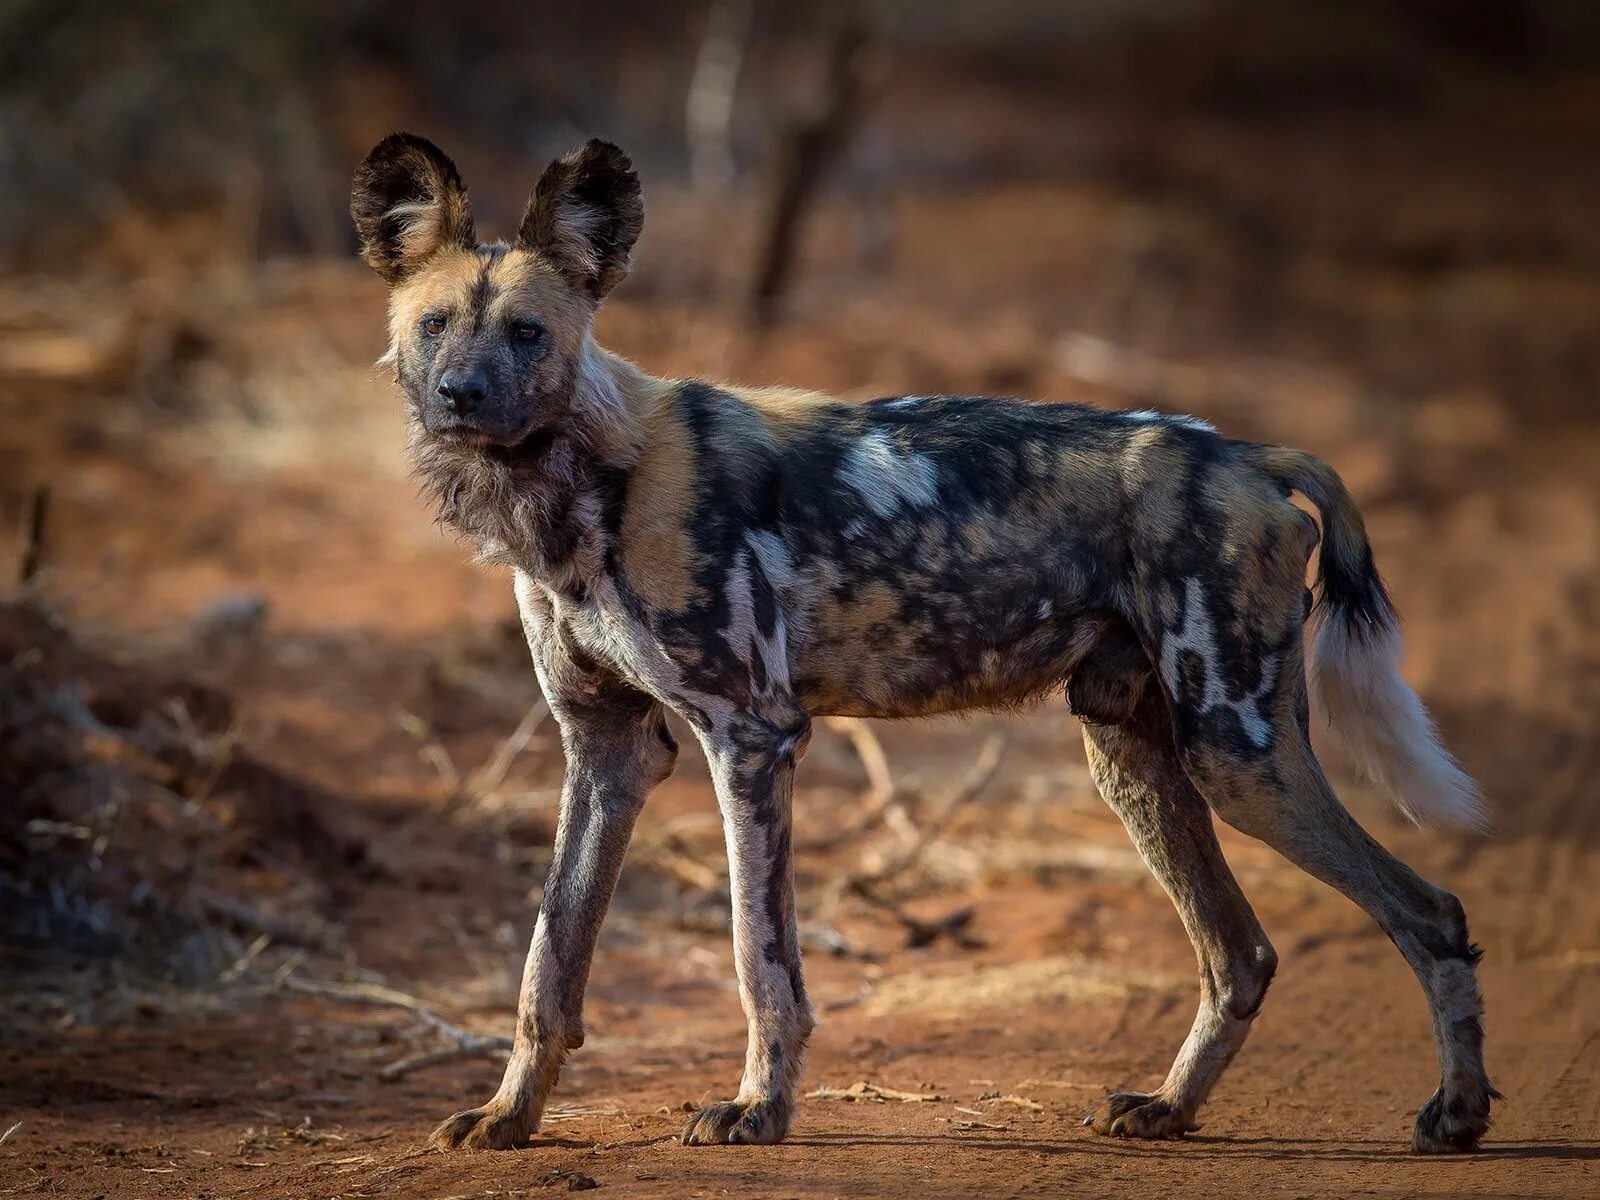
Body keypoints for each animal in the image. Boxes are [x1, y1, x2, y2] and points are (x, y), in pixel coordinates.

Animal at [353, 136, 1497, 1158]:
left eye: (529, 333)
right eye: (437, 325)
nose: (460, 396)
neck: (580, 486)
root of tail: (1247, 455)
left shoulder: (752, 738)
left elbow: (759, 958)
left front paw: (758, 1111)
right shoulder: (606, 753)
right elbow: (548, 959)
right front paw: (509, 1116)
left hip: (1237, 751)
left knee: (1430, 913)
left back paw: (1455, 1116)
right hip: (1135, 756)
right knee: (1240, 954)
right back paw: (1172, 1109)